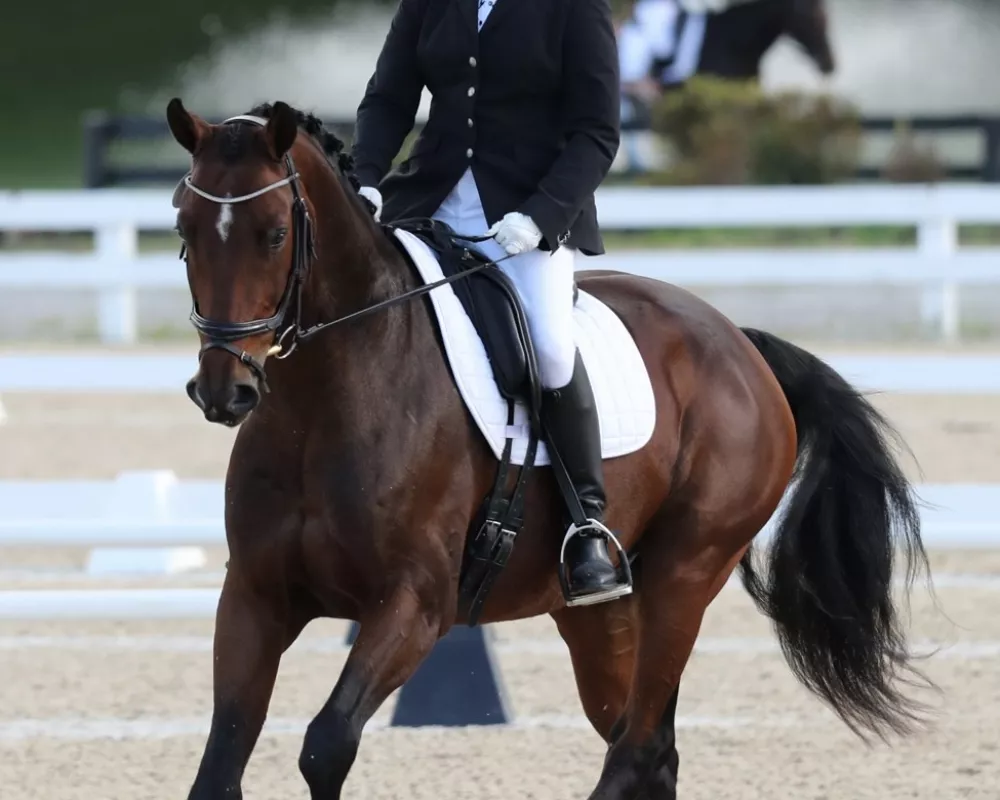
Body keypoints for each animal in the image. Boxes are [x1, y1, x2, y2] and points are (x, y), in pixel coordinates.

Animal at [166, 100, 928, 800]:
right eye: (184, 229)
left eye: (273, 235)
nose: (224, 390)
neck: (325, 403)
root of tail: (739, 342)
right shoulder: (254, 596)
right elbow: (221, 760)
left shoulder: (413, 605)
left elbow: (326, 744)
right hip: (597, 612)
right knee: (643, 743)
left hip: (685, 575)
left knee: (637, 750)